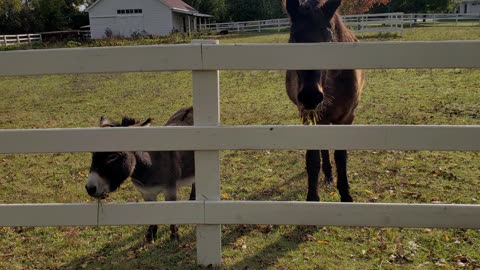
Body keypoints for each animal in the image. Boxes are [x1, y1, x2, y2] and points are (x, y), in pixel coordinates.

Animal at [284, 0, 364, 202]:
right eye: (293, 38)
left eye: (328, 41)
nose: (310, 96)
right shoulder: (307, 116)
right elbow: (313, 159)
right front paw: (312, 197)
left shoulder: (346, 118)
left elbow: (341, 157)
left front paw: (346, 195)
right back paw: (327, 174)